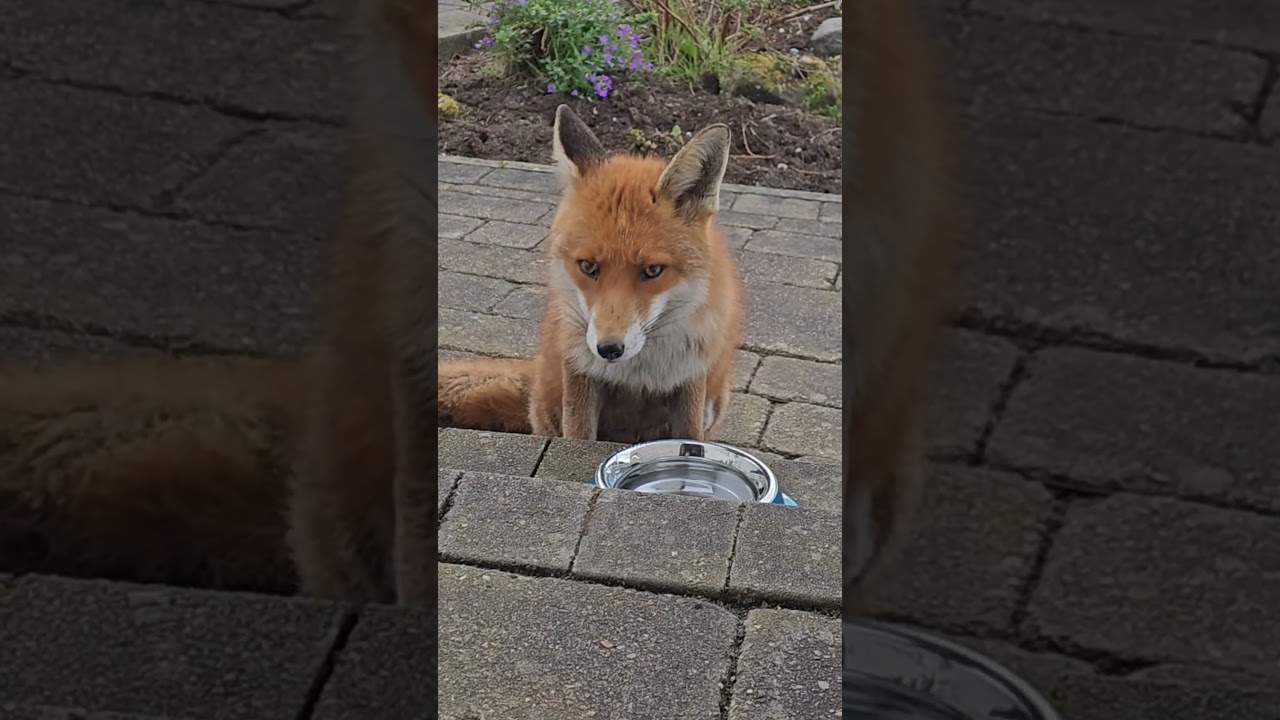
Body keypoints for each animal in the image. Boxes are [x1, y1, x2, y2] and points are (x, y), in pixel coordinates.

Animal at [440, 106, 745, 444]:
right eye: (587, 266)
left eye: (653, 270)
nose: (609, 349)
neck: (639, 374)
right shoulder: (580, 372)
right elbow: (578, 435)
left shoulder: (690, 378)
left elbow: (690, 436)